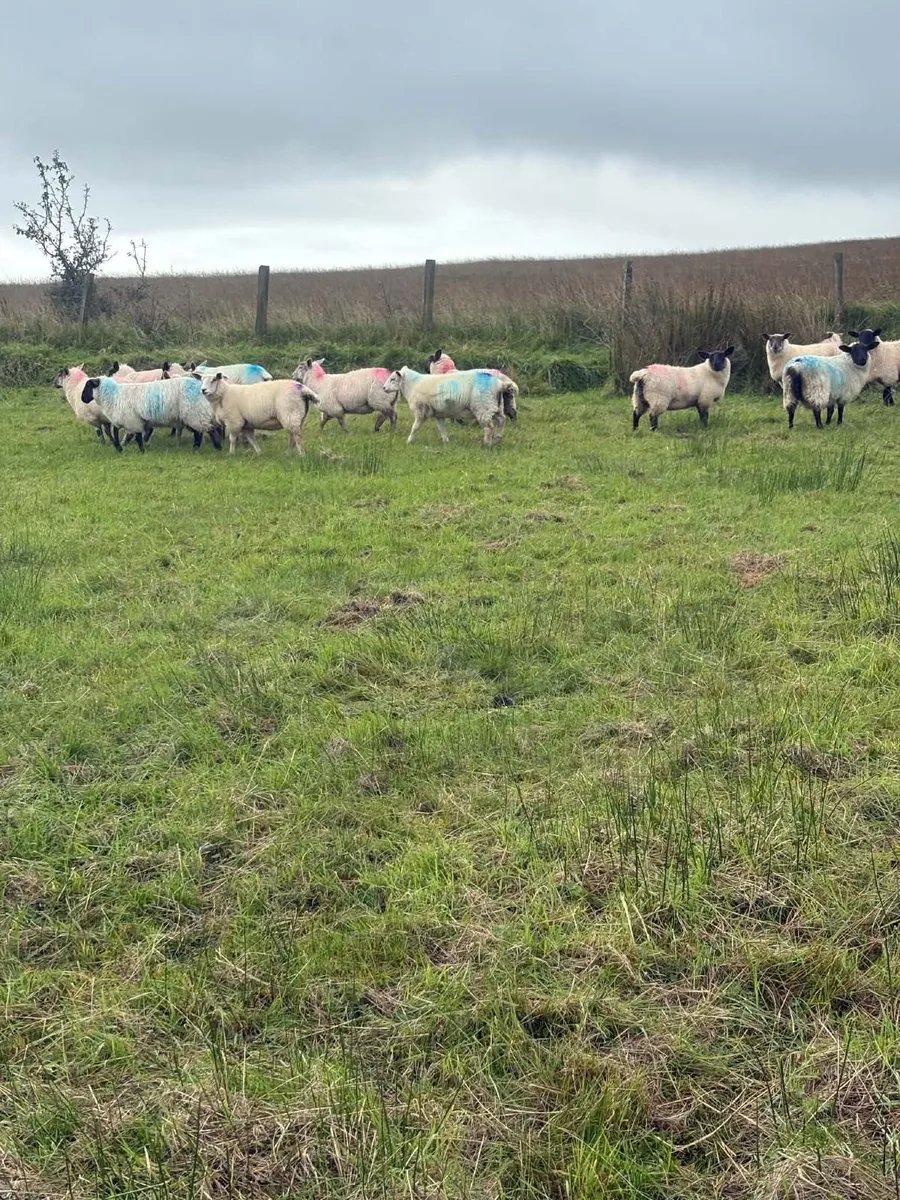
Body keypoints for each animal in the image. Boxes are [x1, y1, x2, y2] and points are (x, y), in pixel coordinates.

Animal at [80, 375, 223, 453]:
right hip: (192, 415)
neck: (113, 395)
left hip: (194, 413)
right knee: (200, 432)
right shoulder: (124, 420)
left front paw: (141, 451)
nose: (82, 399)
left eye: (88, 386)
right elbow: (116, 433)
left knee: (208, 430)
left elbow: (137, 437)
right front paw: (119, 448)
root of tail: (201, 388)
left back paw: (217, 447)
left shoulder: (132, 420)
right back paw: (196, 448)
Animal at [383, 366, 518, 446]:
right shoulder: (438, 414)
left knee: (489, 427)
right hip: (495, 407)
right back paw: (498, 439)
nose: (384, 388)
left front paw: (409, 441)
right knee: (501, 420)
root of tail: (500, 384)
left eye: (393, 379)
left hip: (483, 408)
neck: (413, 384)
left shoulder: (420, 411)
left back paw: (487, 444)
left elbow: (415, 427)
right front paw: (446, 442)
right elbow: (442, 429)